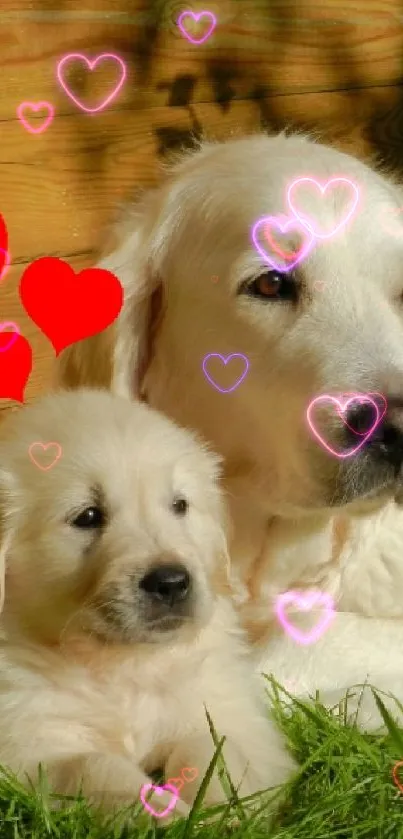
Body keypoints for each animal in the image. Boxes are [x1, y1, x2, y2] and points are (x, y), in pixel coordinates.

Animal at [0, 392, 294, 820]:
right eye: (88, 516)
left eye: (179, 505)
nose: (171, 582)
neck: (123, 664)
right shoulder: (27, 741)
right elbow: (92, 766)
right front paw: (161, 815)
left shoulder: (228, 711)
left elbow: (213, 750)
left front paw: (219, 813)